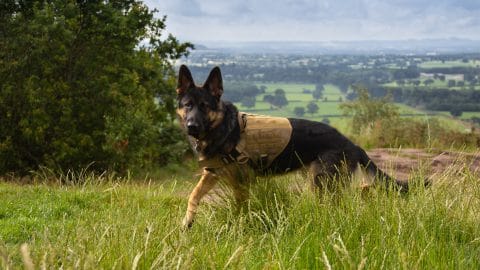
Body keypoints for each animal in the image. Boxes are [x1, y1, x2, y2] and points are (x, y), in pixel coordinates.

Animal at [176, 65, 408, 228]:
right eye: (188, 105)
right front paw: (187, 222)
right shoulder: (212, 175)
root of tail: (352, 143)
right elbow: (193, 195)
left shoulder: (241, 184)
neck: (222, 127)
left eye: (205, 107)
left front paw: (238, 227)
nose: (191, 126)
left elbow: (240, 209)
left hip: (322, 185)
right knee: (362, 190)